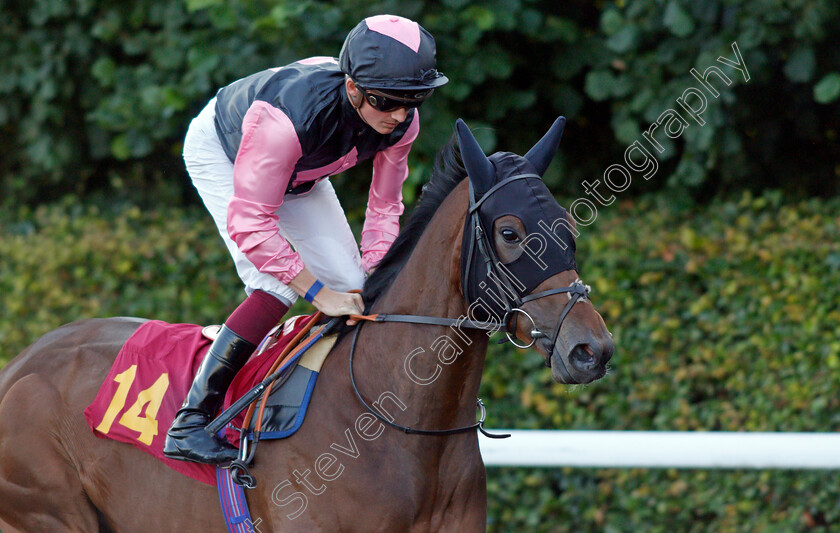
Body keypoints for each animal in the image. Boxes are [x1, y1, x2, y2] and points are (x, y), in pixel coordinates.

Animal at [1, 117, 616, 532]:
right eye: (510, 233)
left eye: (568, 227)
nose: (592, 349)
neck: (401, 425)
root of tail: (21, 363)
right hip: (47, 510)